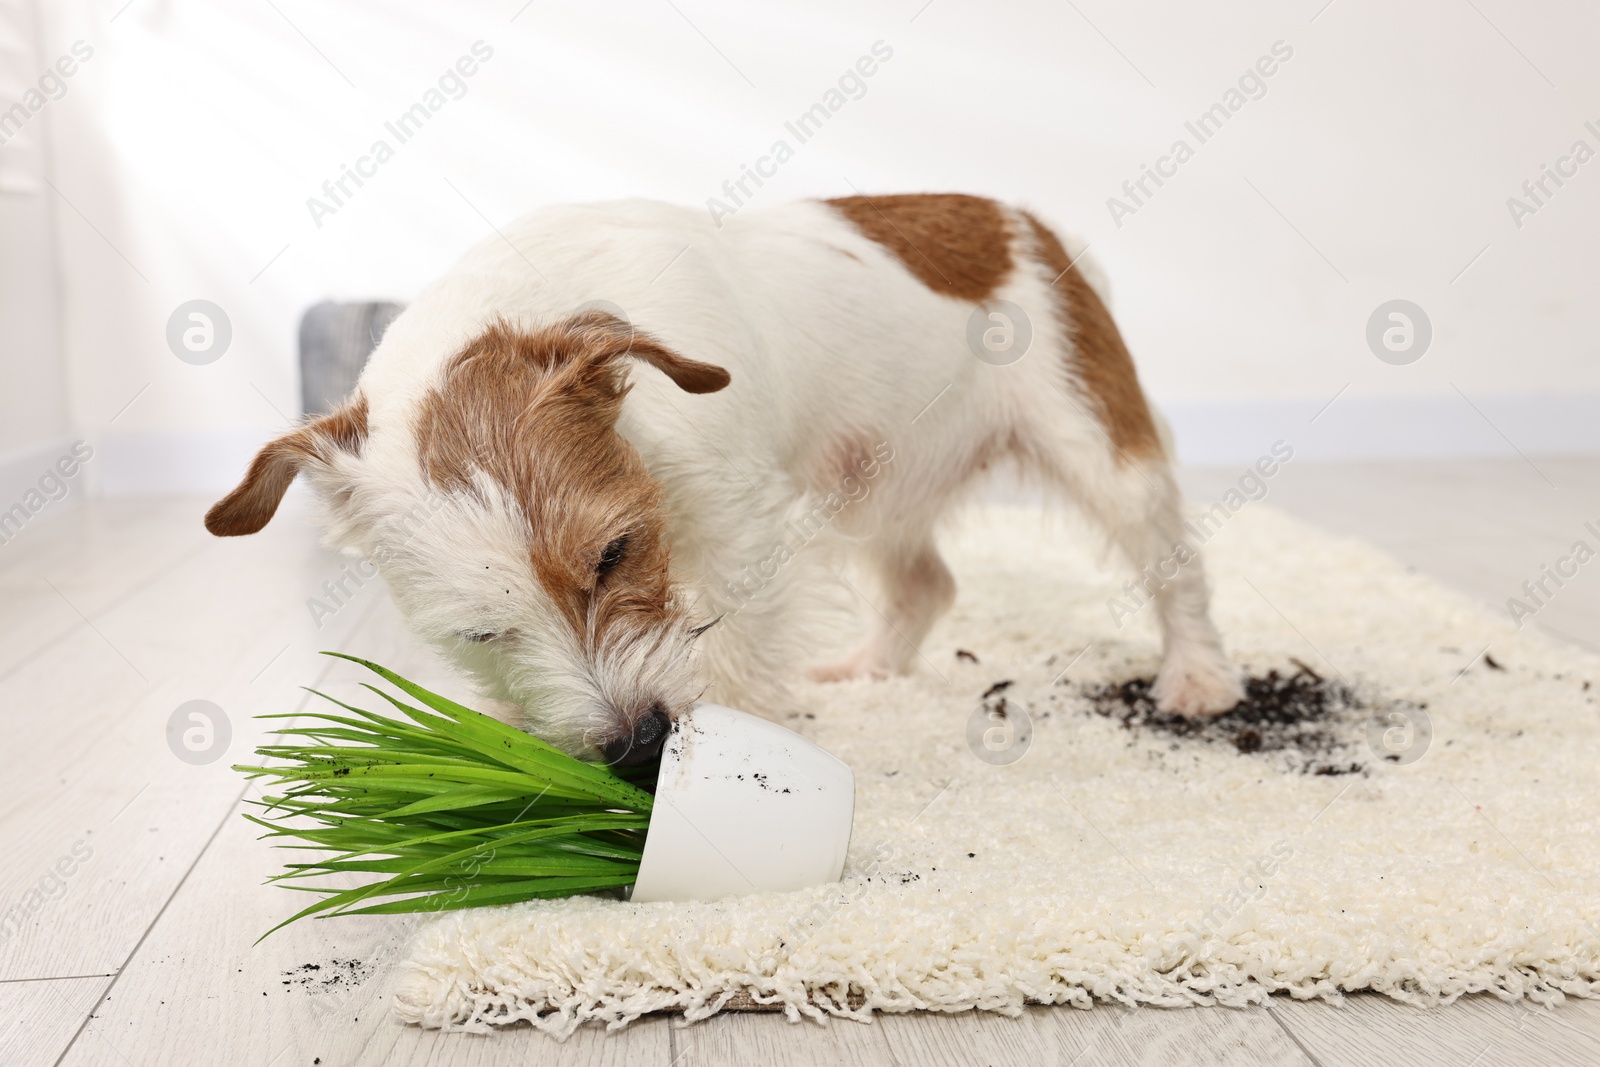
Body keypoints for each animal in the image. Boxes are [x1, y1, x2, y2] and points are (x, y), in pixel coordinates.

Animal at [206, 195, 1241, 764]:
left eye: (616, 554)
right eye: (480, 633)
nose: (637, 745)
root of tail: (1020, 218)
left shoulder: (742, 525)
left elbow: (738, 644)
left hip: (1099, 445)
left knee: (1176, 564)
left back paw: (1196, 675)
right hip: (871, 474)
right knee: (925, 581)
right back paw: (870, 665)